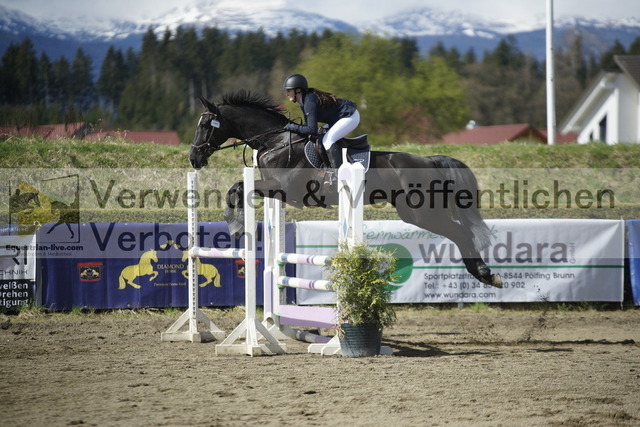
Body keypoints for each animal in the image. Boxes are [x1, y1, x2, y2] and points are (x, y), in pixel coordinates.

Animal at [188, 92, 502, 290]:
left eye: (205, 125)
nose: (194, 158)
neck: (274, 141)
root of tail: (430, 160)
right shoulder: (277, 193)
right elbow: (239, 188)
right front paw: (237, 226)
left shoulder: (282, 188)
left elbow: (237, 188)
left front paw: (236, 226)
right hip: (413, 212)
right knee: (458, 231)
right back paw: (484, 274)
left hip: (422, 211)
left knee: (459, 231)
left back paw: (486, 275)